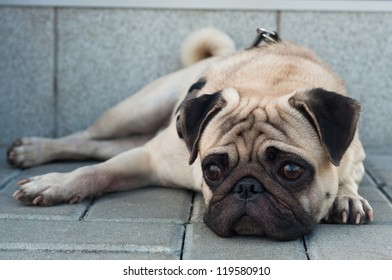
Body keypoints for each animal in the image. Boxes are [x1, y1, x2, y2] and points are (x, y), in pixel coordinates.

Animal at [6, 27, 374, 240]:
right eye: (212, 169)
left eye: (291, 170)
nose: (247, 187)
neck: (269, 84)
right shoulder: (149, 158)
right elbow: (97, 172)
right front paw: (57, 184)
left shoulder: (355, 155)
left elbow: (347, 175)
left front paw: (346, 196)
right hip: (133, 112)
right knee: (87, 138)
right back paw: (34, 151)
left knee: (102, 147)